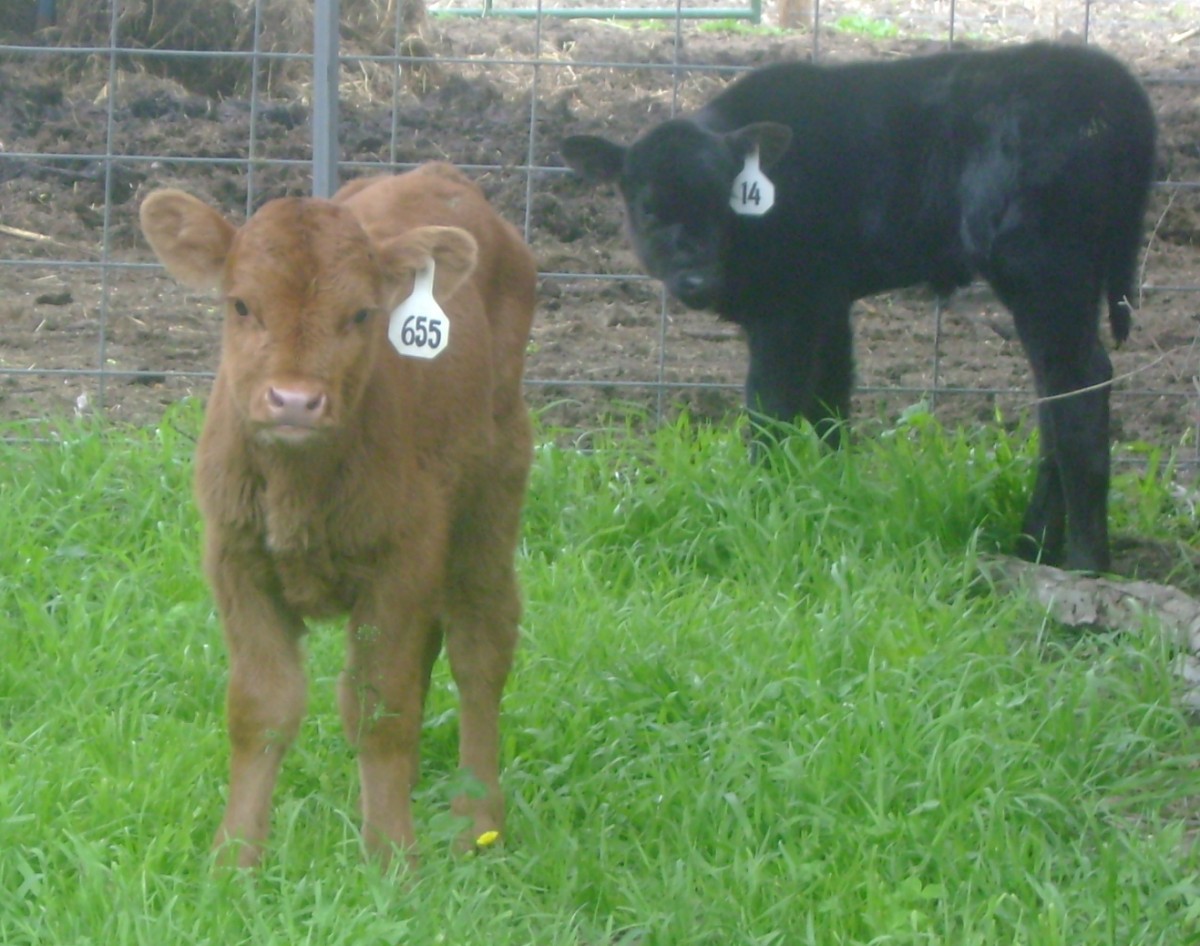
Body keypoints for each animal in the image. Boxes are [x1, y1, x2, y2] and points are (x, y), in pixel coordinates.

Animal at [139, 162, 535, 864]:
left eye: (362, 313)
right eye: (241, 304)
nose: (295, 400)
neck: (298, 488)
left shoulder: (400, 560)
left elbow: (381, 709)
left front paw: (392, 859)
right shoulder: (235, 559)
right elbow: (263, 708)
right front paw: (234, 858)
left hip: (493, 490)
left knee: (480, 646)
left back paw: (475, 820)